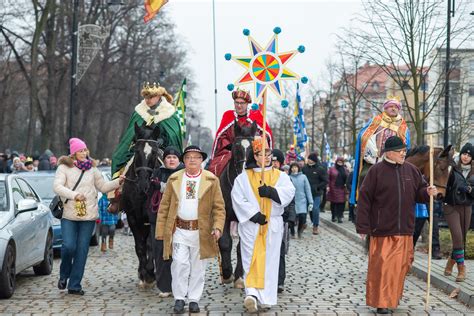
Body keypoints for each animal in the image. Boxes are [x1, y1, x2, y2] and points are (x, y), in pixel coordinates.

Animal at [121, 123, 164, 288]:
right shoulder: (133, 218)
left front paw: (151, 273)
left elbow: (151, 245)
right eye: (136, 151)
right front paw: (143, 274)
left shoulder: (153, 218)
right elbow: (140, 247)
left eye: (154, 152)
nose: (143, 184)